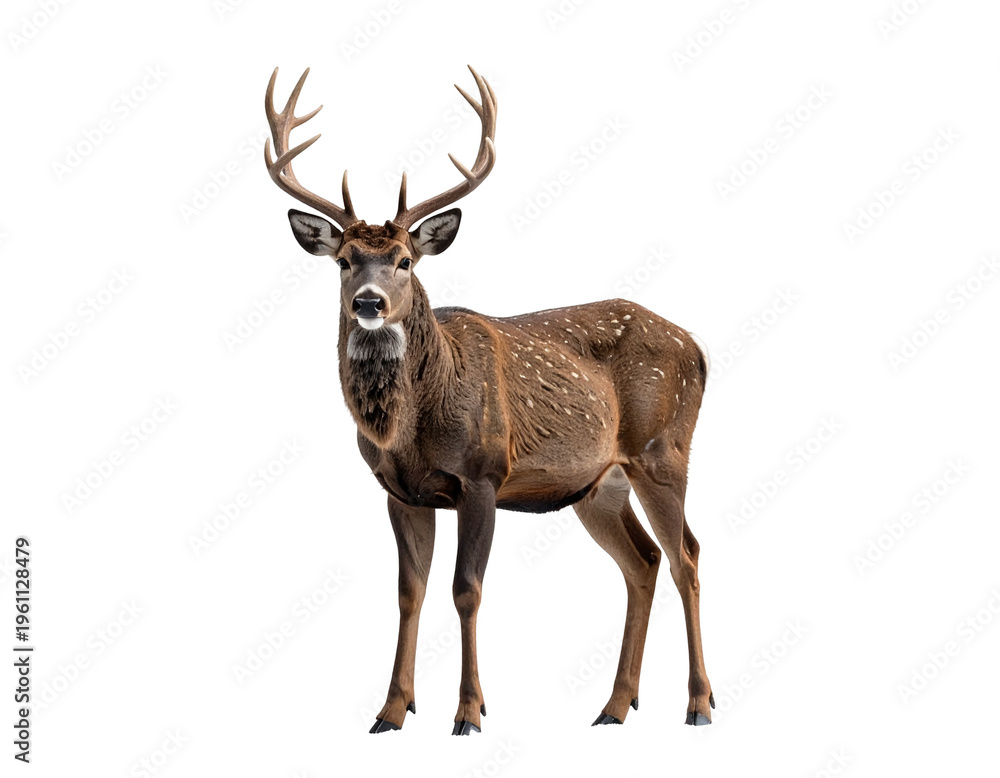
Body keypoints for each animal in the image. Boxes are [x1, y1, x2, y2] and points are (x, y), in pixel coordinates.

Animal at [264, 65, 714, 735]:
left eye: (405, 260)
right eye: (344, 260)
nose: (369, 302)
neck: (410, 430)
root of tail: (700, 348)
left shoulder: (482, 474)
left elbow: (466, 589)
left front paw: (469, 712)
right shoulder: (399, 490)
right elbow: (410, 591)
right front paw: (391, 711)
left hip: (663, 449)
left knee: (686, 554)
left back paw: (698, 704)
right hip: (598, 484)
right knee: (643, 561)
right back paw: (614, 706)